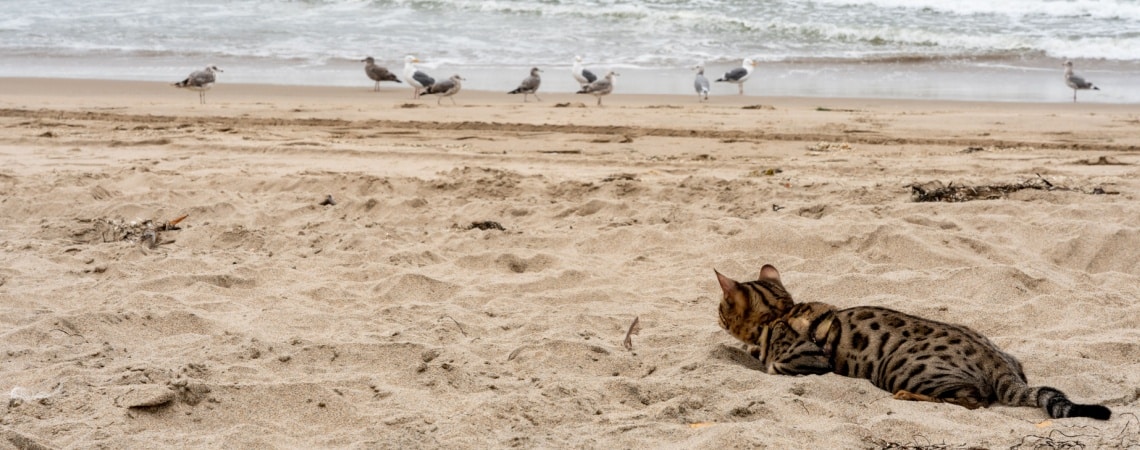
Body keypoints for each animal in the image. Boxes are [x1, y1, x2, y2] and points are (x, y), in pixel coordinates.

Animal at [715, 266, 1108, 421]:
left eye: (720, 306)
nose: (715, 315)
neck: (781, 313)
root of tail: (997, 362)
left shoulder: (809, 362)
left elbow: (771, 365)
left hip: (900, 367)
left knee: (972, 401)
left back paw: (908, 396)